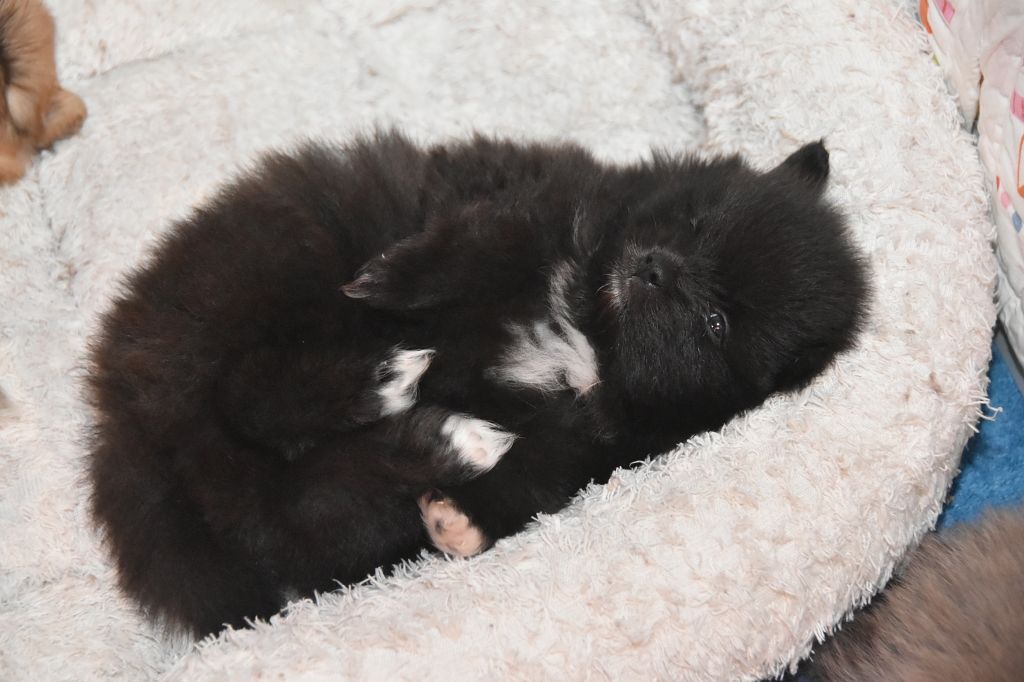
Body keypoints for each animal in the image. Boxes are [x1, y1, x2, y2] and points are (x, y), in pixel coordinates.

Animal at [88, 130, 868, 636]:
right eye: (699, 222)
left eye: (715, 323)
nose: (654, 267)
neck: (589, 325)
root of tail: (124, 407)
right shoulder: (535, 200)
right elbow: (478, 242)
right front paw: (389, 276)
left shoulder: (599, 441)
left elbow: (542, 473)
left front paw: (464, 520)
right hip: (278, 269)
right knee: (245, 398)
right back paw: (391, 379)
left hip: (307, 493)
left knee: (299, 486)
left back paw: (444, 433)